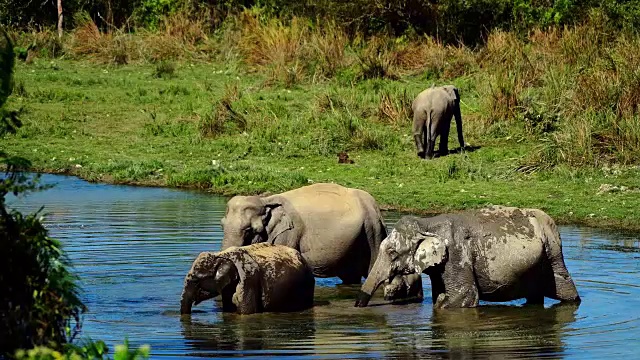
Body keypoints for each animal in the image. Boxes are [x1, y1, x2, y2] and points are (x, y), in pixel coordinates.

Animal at [220, 183, 390, 284]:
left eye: (249, 230)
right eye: (221, 225)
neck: (266, 200)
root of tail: (375, 206)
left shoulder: (289, 234)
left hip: (373, 232)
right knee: (350, 276)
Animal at [356, 205, 580, 310]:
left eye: (392, 253)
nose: (357, 305)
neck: (426, 223)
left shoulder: (456, 254)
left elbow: (464, 296)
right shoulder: (440, 267)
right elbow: (440, 295)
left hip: (552, 255)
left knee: (566, 290)